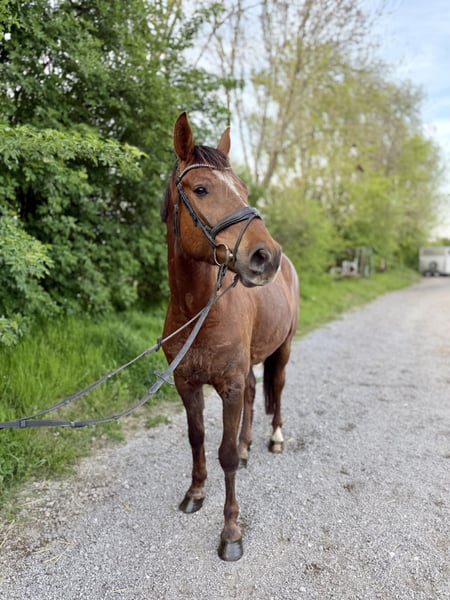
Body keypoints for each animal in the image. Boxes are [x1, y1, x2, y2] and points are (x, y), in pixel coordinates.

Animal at [161, 112, 299, 561]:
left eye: (243, 189)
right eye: (201, 188)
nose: (265, 256)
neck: (197, 313)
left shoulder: (230, 386)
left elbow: (223, 456)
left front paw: (231, 532)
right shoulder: (186, 383)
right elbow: (197, 438)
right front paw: (195, 493)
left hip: (284, 349)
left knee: (277, 388)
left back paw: (274, 439)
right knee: (258, 391)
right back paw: (247, 445)